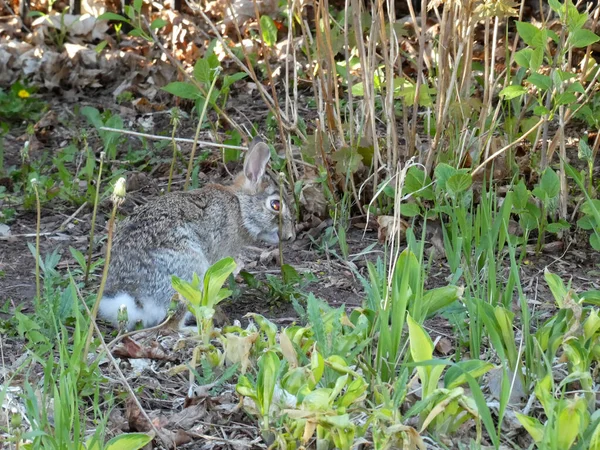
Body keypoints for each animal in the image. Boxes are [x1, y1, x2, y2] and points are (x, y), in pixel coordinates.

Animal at [98, 137, 296, 330]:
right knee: (171, 327)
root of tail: (135, 300)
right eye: (275, 205)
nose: (289, 236)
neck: (240, 207)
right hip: (189, 274)